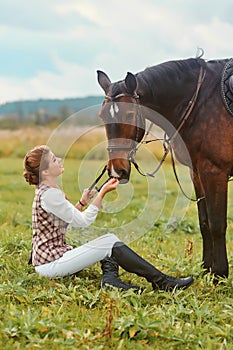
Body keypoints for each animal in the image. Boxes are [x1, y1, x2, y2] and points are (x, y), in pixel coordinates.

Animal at [96, 54, 233, 278]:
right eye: (102, 116)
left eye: (129, 114)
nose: (117, 169)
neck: (201, 102)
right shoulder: (197, 173)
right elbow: (204, 222)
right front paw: (206, 269)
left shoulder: (215, 172)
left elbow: (216, 224)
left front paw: (219, 274)